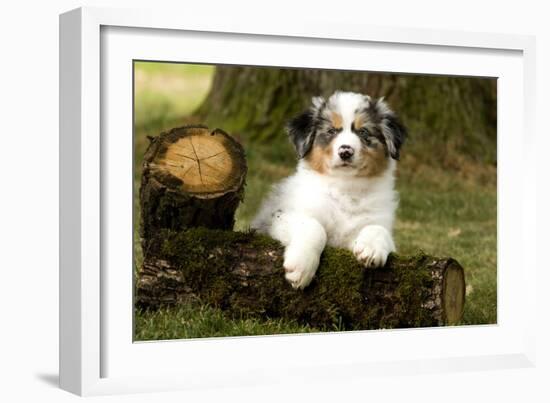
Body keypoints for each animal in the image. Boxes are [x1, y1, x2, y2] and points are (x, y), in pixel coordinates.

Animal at [252, 90, 408, 290]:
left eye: (363, 132)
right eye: (332, 131)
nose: (346, 151)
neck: (345, 188)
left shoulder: (377, 222)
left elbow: (379, 229)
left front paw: (371, 248)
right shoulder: (280, 216)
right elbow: (314, 227)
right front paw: (301, 268)